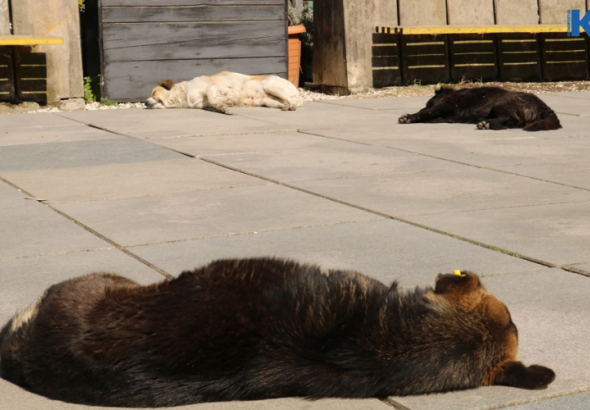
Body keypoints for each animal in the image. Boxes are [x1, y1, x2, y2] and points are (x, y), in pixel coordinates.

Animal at [147, 71, 306, 112]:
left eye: (154, 92)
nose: (145, 103)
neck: (185, 95)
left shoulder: (211, 87)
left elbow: (212, 96)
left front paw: (227, 101)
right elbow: (213, 103)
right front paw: (222, 106)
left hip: (270, 86)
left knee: (293, 100)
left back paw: (292, 105)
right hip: (267, 101)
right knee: (282, 102)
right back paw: (285, 106)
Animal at [400, 86, 560, 131]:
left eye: (428, 103)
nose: (423, 107)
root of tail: (545, 107)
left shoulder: (444, 106)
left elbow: (428, 112)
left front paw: (408, 117)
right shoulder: (447, 116)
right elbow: (429, 116)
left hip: (501, 103)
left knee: (505, 118)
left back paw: (486, 123)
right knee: (508, 123)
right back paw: (488, 124)